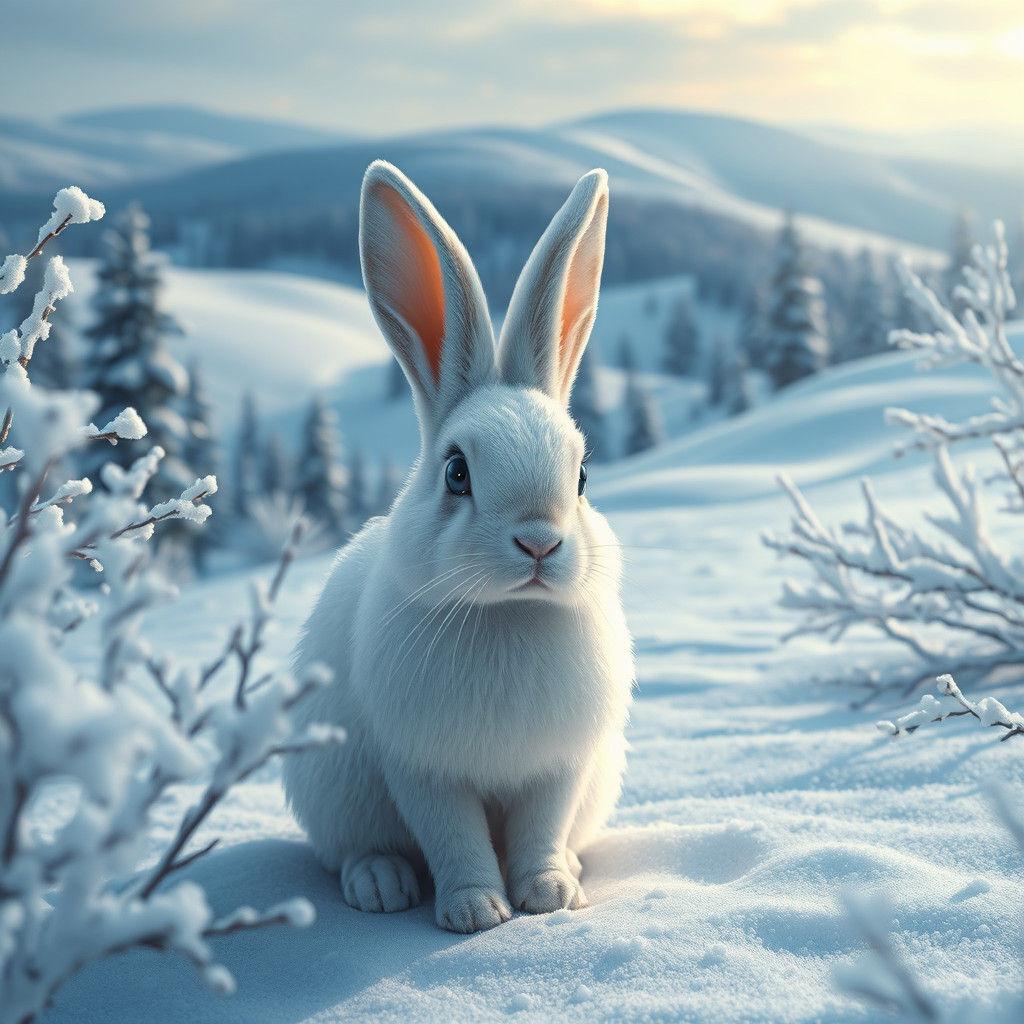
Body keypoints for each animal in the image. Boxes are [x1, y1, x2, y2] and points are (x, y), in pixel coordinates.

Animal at [282, 159, 634, 934]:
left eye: (582, 476)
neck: (509, 612)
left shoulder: (559, 767)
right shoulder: (422, 768)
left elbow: (539, 831)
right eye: (456, 472)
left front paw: (548, 896)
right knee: (352, 851)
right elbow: (454, 838)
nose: (539, 542)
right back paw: (379, 884)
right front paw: (476, 912)